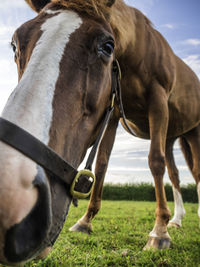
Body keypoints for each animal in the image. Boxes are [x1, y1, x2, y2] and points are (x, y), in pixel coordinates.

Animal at [0, 0, 199, 264]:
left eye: (107, 46)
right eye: (15, 44)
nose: (13, 200)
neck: (138, 50)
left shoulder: (158, 103)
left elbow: (155, 162)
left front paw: (159, 232)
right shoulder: (112, 114)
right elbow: (102, 164)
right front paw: (85, 221)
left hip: (192, 133)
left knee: (194, 171)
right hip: (170, 136)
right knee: (175, 174)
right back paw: (176, 219)